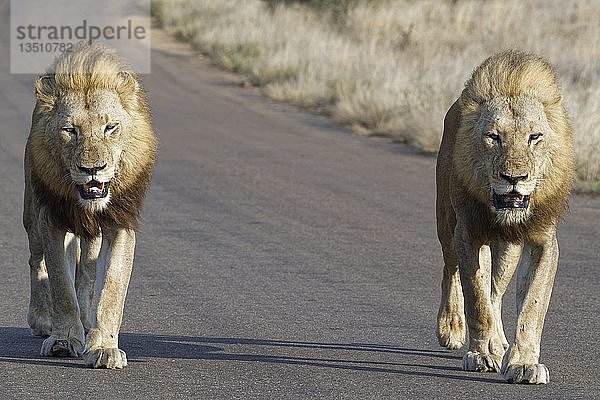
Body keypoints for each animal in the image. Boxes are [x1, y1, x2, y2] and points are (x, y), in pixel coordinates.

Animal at [22, 41, 157, 368]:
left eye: (110, 127)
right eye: (70, 130)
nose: (93, 169)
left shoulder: (120, 223)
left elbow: (111, 288)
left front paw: (104, 348)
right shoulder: (51, 218)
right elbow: (60, 284)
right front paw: (62, 340)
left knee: (85, 272)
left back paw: (85, 322)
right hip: (31, 215)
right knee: (37, 261)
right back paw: (43, 319)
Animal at [436, 50, 576, 384]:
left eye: (534, 137)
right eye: (493, 137)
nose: (514, 178)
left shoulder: (543, 241)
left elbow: (532, 306)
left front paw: (523, 363)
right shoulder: (468, 233)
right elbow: (475, 299)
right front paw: (480, 355)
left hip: (508, 250)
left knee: (495, 292)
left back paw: (499, 343)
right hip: (446, 222)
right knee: (452, 271)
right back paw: (452, 328)